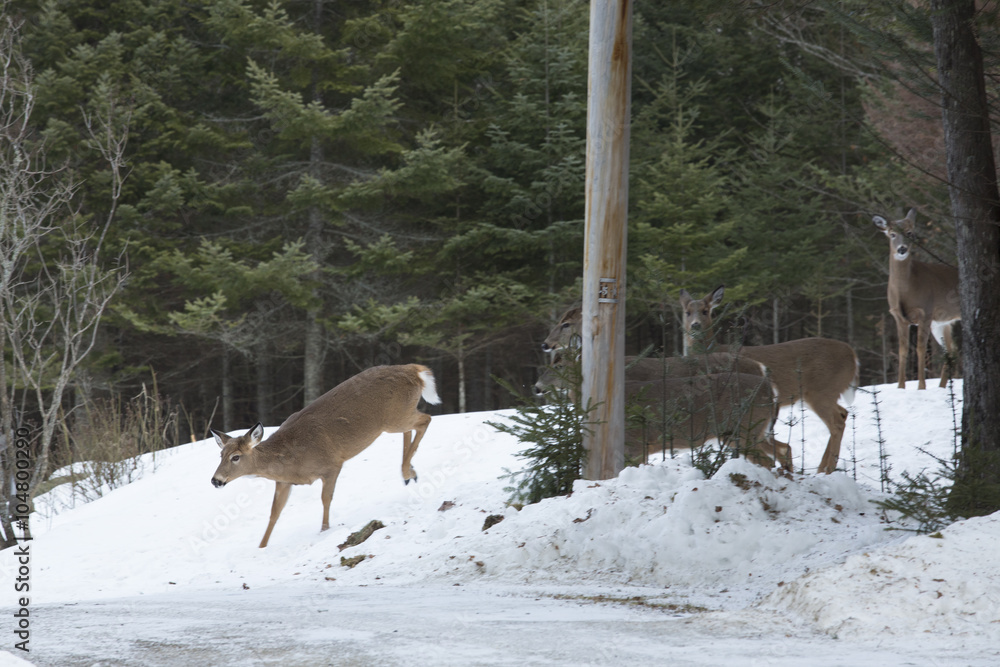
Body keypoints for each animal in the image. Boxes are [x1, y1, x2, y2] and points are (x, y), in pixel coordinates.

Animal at [210, 364, 441, 548]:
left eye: (236, 457)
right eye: (220, 454)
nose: (215, 480)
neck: (290, 459)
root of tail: (413, 369)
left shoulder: (331, 465)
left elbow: (325, 498)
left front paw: (324, 530)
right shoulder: (283, 482)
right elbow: (274, 513)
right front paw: (261, 546)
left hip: (395, 417)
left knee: (426, 419)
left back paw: (407, 472)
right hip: (398, 417)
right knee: (412, 427)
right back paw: (409, 473)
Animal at [535, 354, 790, 469]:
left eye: (558, 365)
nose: (536, 387)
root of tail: (771, 387)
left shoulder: (636, 443)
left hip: (744, 427)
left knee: (768, 460)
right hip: (752, 430)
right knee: (783, 449)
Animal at [679, 286, 859, 474]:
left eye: (705, 311)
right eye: (687, 312)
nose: (695, 324)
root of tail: (852, 355)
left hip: (822, 391)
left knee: (836, 423)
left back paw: (826, 469)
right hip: (822, 394)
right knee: (843, 413)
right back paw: (822, 467)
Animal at [873, 209, 961, 390]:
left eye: (909, 233)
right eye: (892, 234)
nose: (902, 249)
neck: (905, 291)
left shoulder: (925, 311)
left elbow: (920, 349)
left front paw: (921, 386)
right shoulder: (898, 316)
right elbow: (903, 350)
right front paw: (900, 387)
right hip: (941, 323)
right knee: (951, 350)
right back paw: (942, 386)